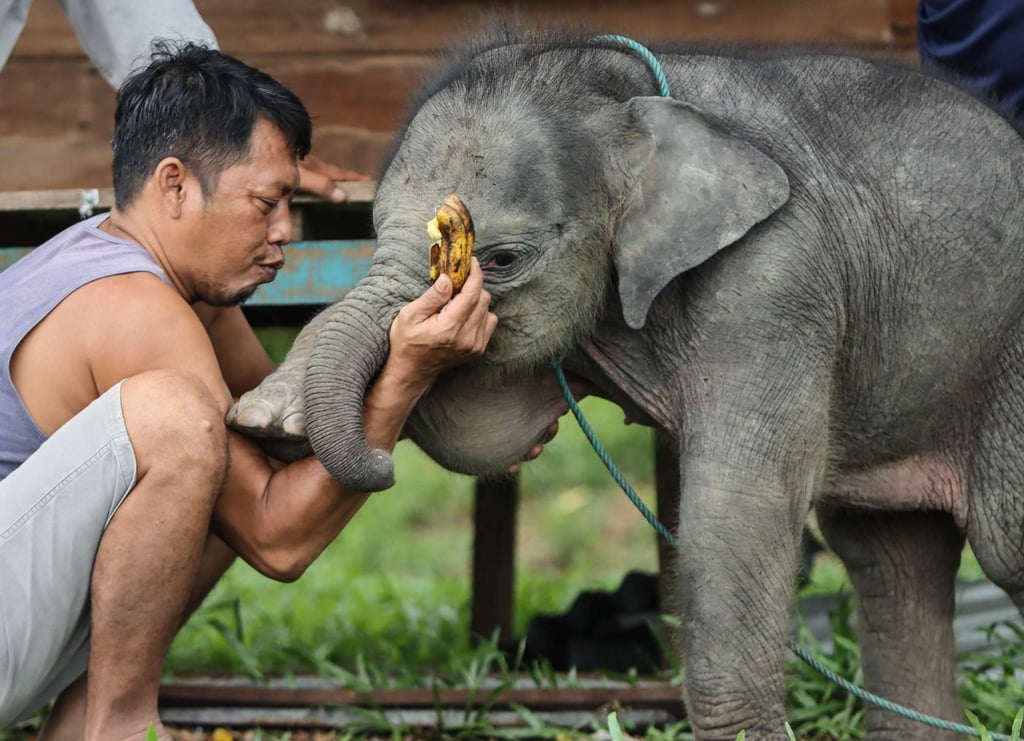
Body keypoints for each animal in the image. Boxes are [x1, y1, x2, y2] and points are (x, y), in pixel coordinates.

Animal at [229, 27, 1024, 740]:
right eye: (369, 226)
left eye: (503, 258)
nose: (375, 465)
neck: (628, 98)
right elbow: (482, 436)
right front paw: (268, 417)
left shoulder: (777, 282)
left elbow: (736, 509)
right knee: (892, 557)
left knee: (997, 541)